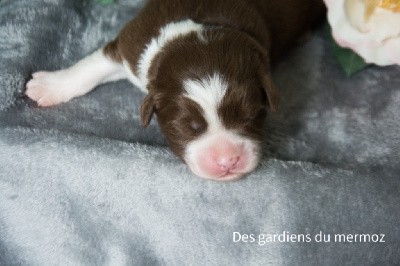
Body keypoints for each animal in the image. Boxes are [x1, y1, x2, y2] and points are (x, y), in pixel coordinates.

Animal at [24, 0, 324, 181]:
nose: (227, 161)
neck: (197, 34)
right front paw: (48, 85)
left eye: (251, 116)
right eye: (188, 126)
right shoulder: (132, 46)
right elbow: (90, 68)